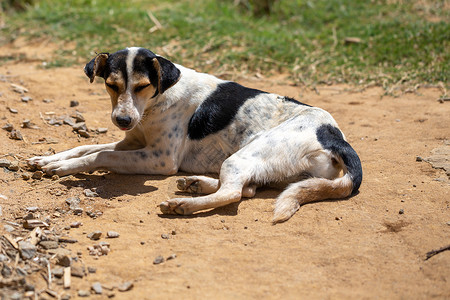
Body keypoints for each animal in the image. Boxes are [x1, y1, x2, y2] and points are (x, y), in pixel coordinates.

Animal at [28, 47, 362, 223]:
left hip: (248, 153)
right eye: (111, 85)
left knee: (234, 193)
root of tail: (335, 136)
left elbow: (100, 154)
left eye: (141, 86)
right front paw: (49, 160)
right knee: (248, 188)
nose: (123, 119)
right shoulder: (132, 141)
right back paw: (195, 184)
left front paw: (63, 168)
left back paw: (183, 205)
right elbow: (87, 148)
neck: (159, 98)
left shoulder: (160, 160)